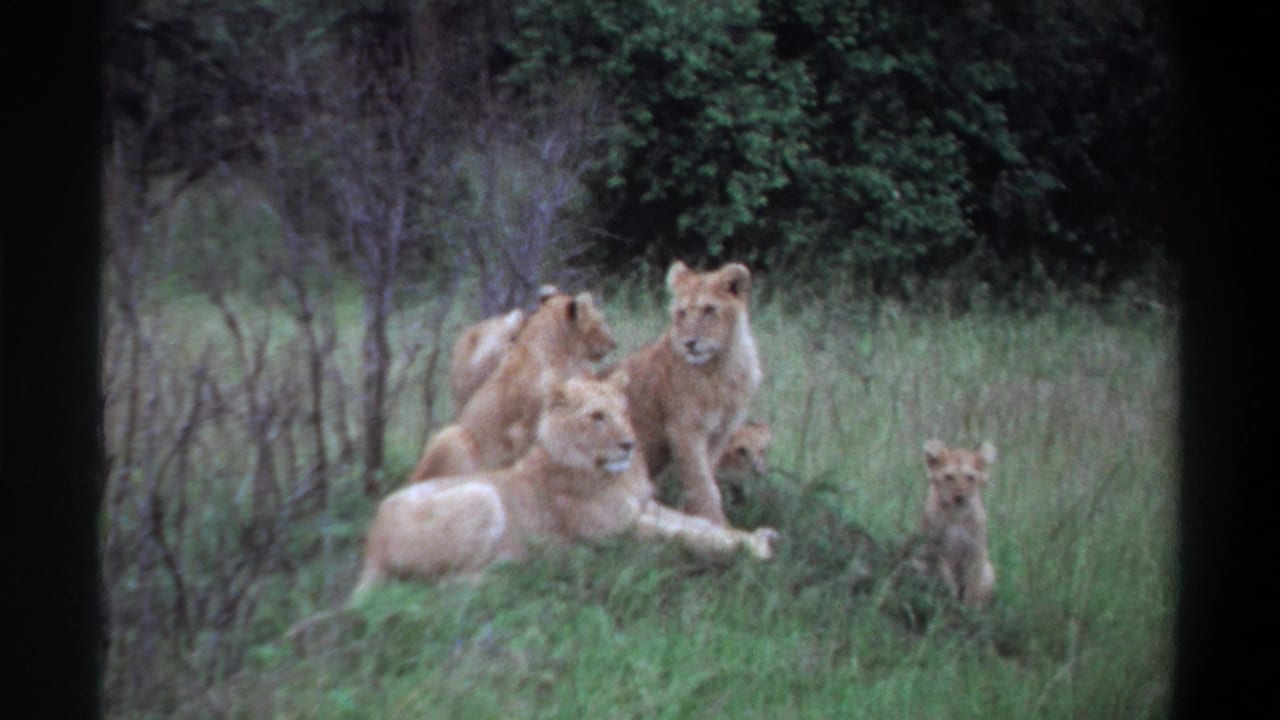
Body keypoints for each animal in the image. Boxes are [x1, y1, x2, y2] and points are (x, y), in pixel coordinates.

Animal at [352, 374, 778, 603]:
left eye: (623, 412)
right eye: (597, 417)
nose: (629, 444)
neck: (612, 472)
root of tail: (370, 544)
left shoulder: (641, 507)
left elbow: (699, 525)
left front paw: (752, 535)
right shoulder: (619, 529)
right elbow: (686, 537)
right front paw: (753, 549)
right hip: (482, 495)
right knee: (443, 584)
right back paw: (525, 569)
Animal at [604, 260, 763, 525]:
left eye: (709, 310)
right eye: (682, 313)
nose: (690, 343)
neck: (722, 365)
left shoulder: (720, 433)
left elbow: (705, 478)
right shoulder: (685, 430)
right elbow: (702, 485)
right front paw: (717, 524)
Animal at [918, 439, 997, 609]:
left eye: (970, 477)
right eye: (949, 477)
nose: (960, 497)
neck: (957, 515)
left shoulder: (976, 551)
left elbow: (973, 585)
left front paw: (968, 609)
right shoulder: (934, 548)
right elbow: (946, 575)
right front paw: (952, 596)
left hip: (989, 569)